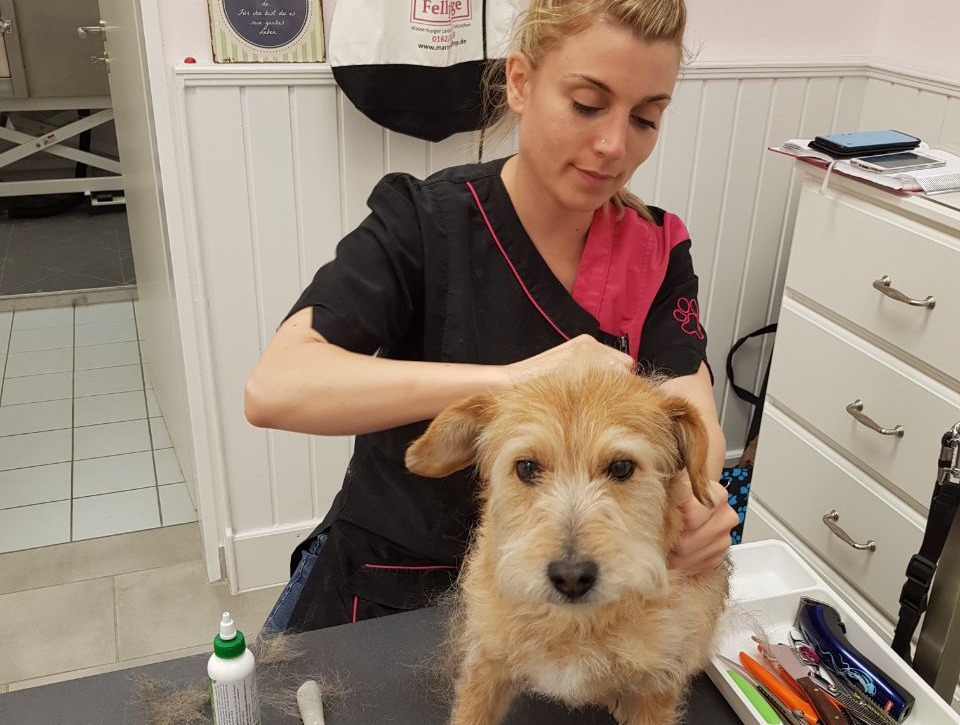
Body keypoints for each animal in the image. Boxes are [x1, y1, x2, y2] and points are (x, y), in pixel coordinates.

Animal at [405, 360, 730, 725]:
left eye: (621, 467)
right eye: (527, 467)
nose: (571, 577)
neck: (574, 624)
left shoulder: (657, 687)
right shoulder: (485, 667)